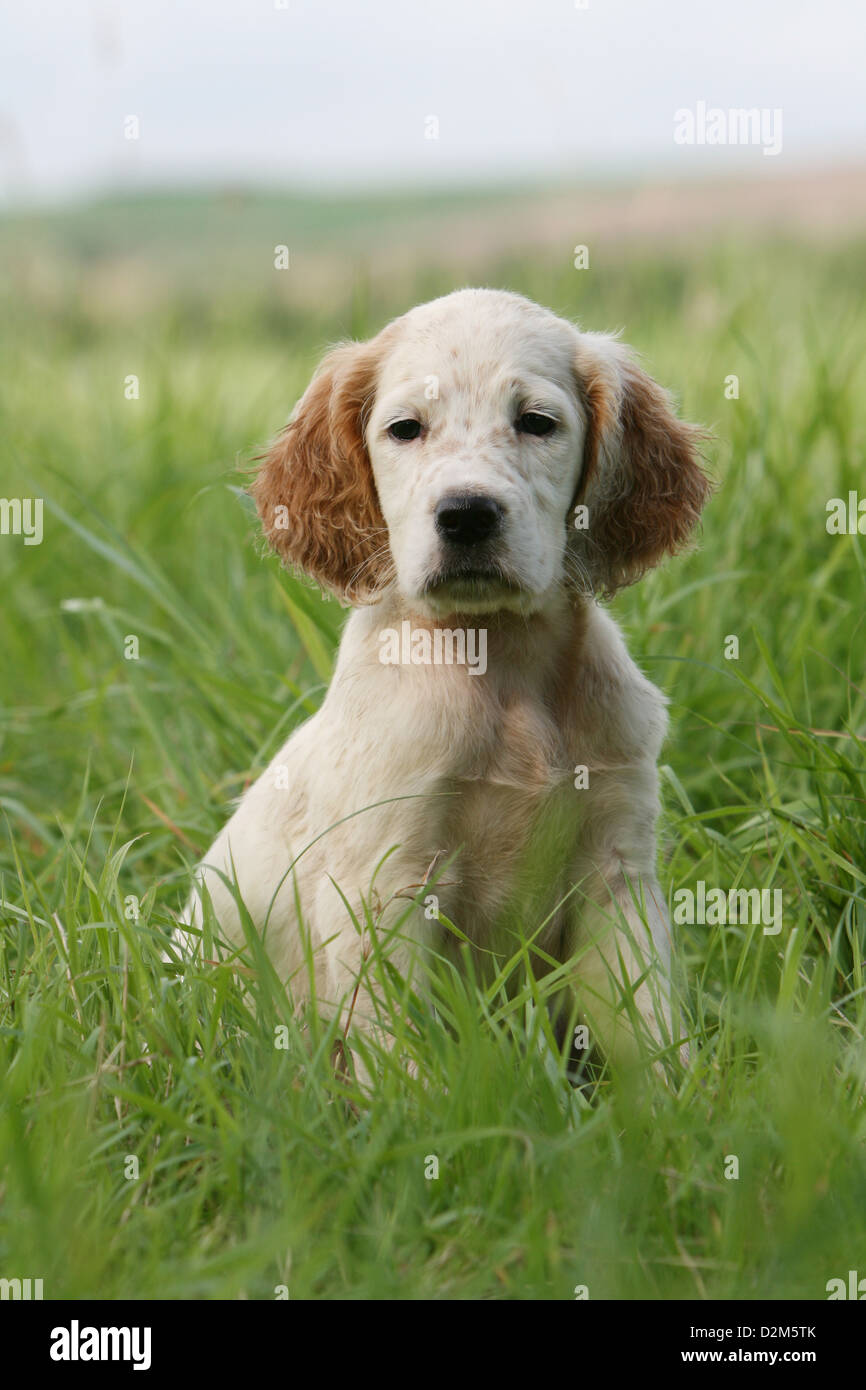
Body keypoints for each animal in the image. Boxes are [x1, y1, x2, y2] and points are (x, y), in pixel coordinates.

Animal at [177, 290, 711, 1073]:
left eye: (537, 422)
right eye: (406, 429)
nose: (466, 515)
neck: (499, 660)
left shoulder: (615, 871)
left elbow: (646, 1031)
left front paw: (684, 1099)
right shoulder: (386, 885)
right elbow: (401, 1052)